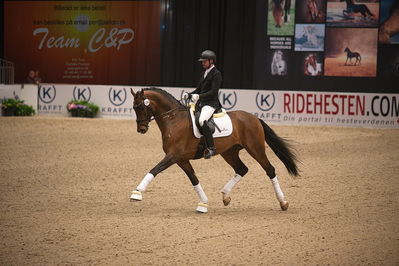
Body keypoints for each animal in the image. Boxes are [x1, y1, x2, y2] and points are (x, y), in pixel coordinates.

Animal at [130, 88, 298, 213]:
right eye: (133, 108)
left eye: (141, 107)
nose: (141, 129)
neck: (174, 120)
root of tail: (254, 118)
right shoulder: (181, 159)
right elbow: (194, 179)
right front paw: (203, 204)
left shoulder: (173, 155)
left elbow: (155, 170)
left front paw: (137, 192)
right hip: (229, 152)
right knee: (242, 169)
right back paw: (225, 196)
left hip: (255, 149)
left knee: (270, 170)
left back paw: (283, 202)